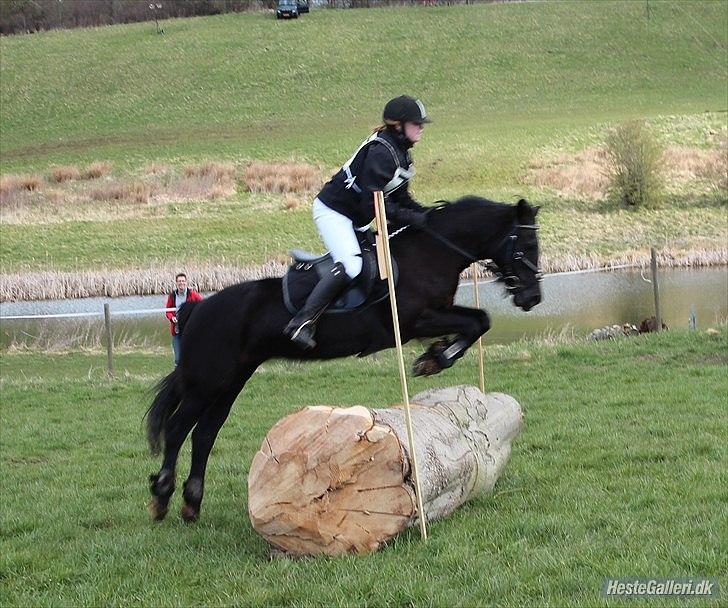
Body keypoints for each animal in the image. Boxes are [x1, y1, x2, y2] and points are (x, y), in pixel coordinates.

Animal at [145, 196, 540, 524]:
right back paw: (162, 495)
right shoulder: (413, 321)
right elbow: (477, 322)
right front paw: (435, 358)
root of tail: (196, 309)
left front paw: (436, 356)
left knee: (205, 433)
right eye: (526, 246)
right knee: (179, 428)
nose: (533, 298)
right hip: (208, 379)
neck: (431, 252)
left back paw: (191, 503)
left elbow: (479, 321)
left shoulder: (434, 315)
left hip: (232, 380)